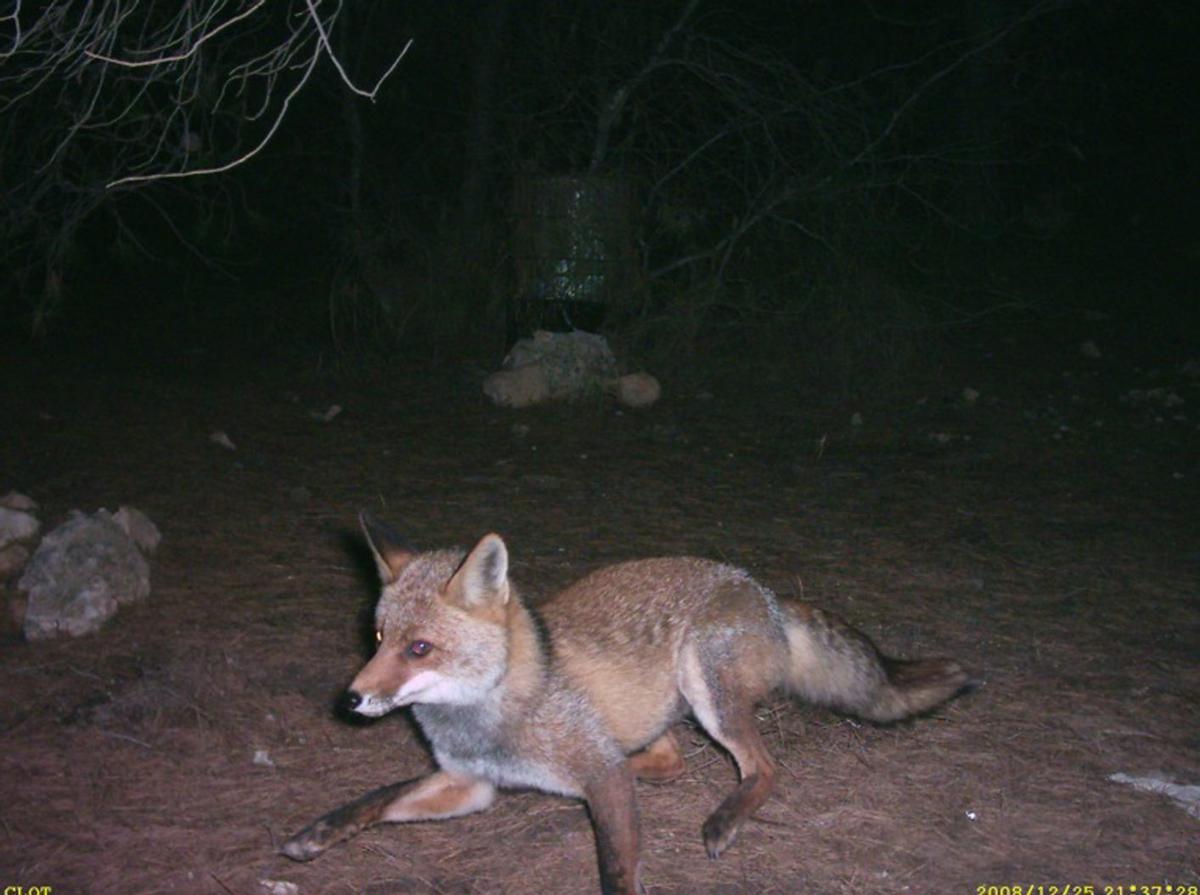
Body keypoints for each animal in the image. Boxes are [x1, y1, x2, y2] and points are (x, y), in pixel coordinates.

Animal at [281, 513, 976, 894]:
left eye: (420, 648)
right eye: (377, 638)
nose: (351, 698)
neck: (492, 715)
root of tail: (765, 592)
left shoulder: (597, 778)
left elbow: (617, 868)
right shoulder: (466, 784)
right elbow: (380, 798)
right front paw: (318, 832)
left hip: (705, 686)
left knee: (761, 768)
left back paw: (724, 816)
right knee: (667, 761)